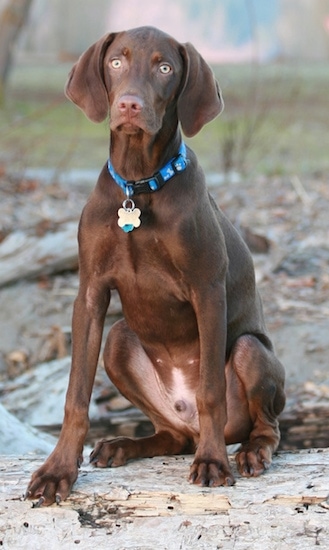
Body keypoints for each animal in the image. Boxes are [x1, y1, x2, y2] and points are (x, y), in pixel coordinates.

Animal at [25, 27, 284, 508]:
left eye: (165, 67)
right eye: (116, 62)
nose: (129, 105)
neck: (139, 185)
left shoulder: (207, 290)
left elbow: (211, 392)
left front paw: (213, 463)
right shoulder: (90, 293)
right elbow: (76, 395)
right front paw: (58, 470)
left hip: (249, 351)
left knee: (264, 424)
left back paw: (248, 451)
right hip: (118, 340)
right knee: (172, 435)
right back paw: (124, 445)